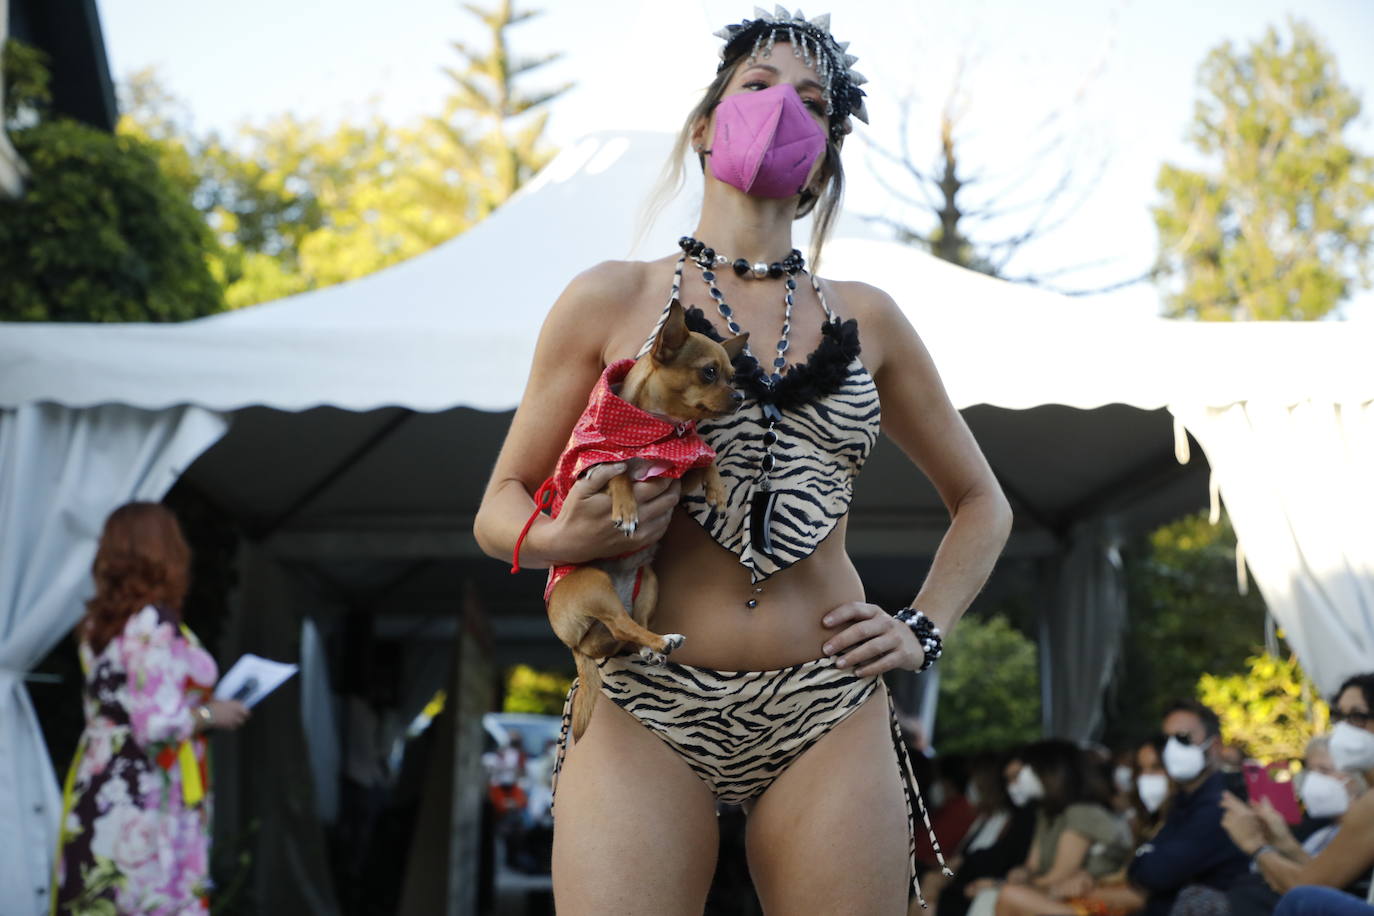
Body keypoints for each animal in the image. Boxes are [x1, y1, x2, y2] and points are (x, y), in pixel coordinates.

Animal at [541, 304, 747, 741]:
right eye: (709, 372)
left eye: (733, 375)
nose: (739, 396)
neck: (656, 429)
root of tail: (577, 646)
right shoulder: (594, 470)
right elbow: (619, 469)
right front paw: (626, 511)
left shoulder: (676, 476)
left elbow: (705, 458)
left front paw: (718, 490)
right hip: (593, 583)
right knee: (622, 626)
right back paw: (661, 642)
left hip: (648, 582)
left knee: (632, 628)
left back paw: (656, 646)